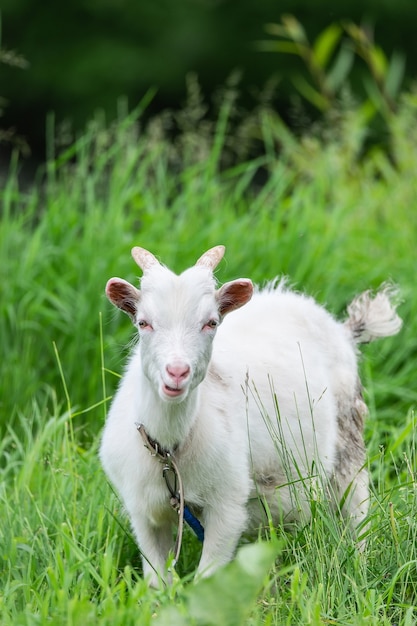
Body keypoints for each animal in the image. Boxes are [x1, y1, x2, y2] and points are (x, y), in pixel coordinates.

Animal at [99, 245, 402, 584]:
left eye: (211, 322)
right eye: (143, 323)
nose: (177, 372)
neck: (170, 450)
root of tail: (341, 329)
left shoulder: (228, 505)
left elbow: (207, 578)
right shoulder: (143, 512)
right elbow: (157, 581)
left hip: (348, 435)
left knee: (355, 509)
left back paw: (358, 567)